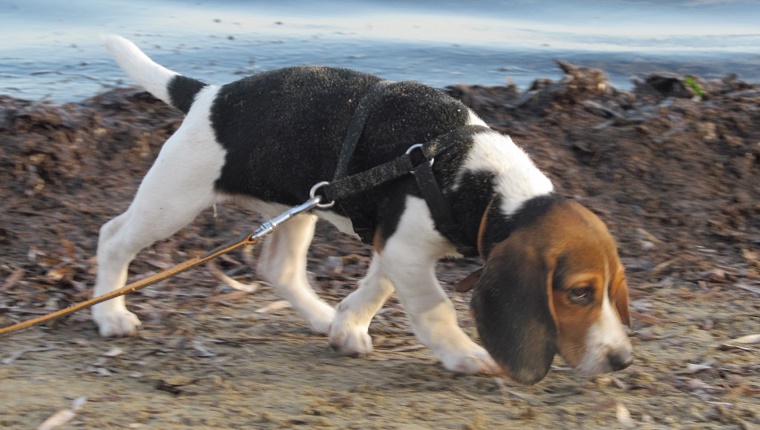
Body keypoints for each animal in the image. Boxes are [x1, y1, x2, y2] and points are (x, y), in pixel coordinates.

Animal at [92, 34, 632, 382]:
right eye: (579, 294)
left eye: (613, 290)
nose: (621, 361)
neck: (483, 183)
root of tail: (209, 94)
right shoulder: (407, 250)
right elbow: (434, 307)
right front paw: (463, 355)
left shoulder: (393, 245)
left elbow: (378, 288)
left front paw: (346, 326)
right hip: (174, 199)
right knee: (113, 237)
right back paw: (111, 314)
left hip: (302, 205)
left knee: (279, 269)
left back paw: (320, 316)